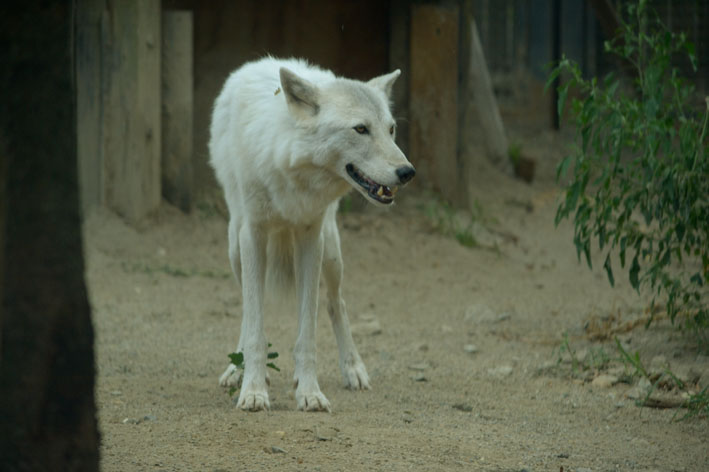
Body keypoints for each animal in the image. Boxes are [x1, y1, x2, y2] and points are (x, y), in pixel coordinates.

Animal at [207, 57, 414, 412]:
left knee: (336, 303)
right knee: (248, 310)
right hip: (235, 247)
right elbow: (255, 327)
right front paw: (253, 390)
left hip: (330, 252)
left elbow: (308, 332)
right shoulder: (253, 236)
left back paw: (353, 369)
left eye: (391, 129)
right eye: (361, 129)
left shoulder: (310, 239)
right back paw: (237, 369)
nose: (407, 172)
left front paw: (309, 393)